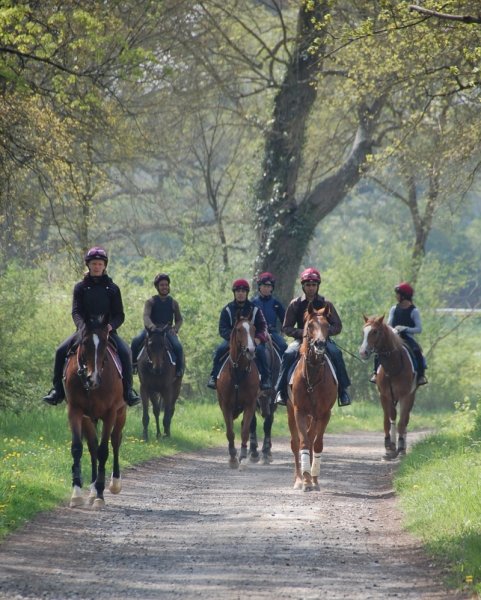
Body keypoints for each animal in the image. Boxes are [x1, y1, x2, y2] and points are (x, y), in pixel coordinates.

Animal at [64, 315, 126, 510]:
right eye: (84, 342)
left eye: (105, 342)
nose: (93, 378)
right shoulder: (75, 411)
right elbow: (78, 448)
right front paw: (77, 494)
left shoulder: (110, 413)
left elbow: (104, 451)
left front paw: (100, 495)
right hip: (88, 419)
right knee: (92, 447)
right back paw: (90, 491)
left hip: (121, 413)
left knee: (115, 441)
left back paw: (114, 484)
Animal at [217, 311, 260, 470]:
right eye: (239, 330)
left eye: (254, 329)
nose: (251, 350)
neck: (238, 373)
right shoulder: (225, 406)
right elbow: (230, 432)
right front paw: (232, 458)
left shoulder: (250, 404)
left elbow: (245, 430)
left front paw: (242, 456)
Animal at [287, 304, 338, 491]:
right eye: (309, 325)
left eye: (327, 326)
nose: (320, 344)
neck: (313, 376)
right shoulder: (299, 412)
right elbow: (303, 443)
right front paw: (306, 481)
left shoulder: (324, 414)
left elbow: (317, 443)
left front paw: (314, 479)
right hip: (291, 412)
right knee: (297, 442)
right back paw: (299, 479)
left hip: (314, 417)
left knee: (311, 438)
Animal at [359, 315, 417, 459]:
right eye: (363, 332)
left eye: (375, 332)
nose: (363, 352)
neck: (393, 367)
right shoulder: (384, 396)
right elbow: (387, 421)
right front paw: (388, 447)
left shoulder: (405, 396)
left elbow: (402, 422)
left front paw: (400, 447)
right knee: (393, 417)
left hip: (411, 396)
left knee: (404, 420)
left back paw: (402, 447)